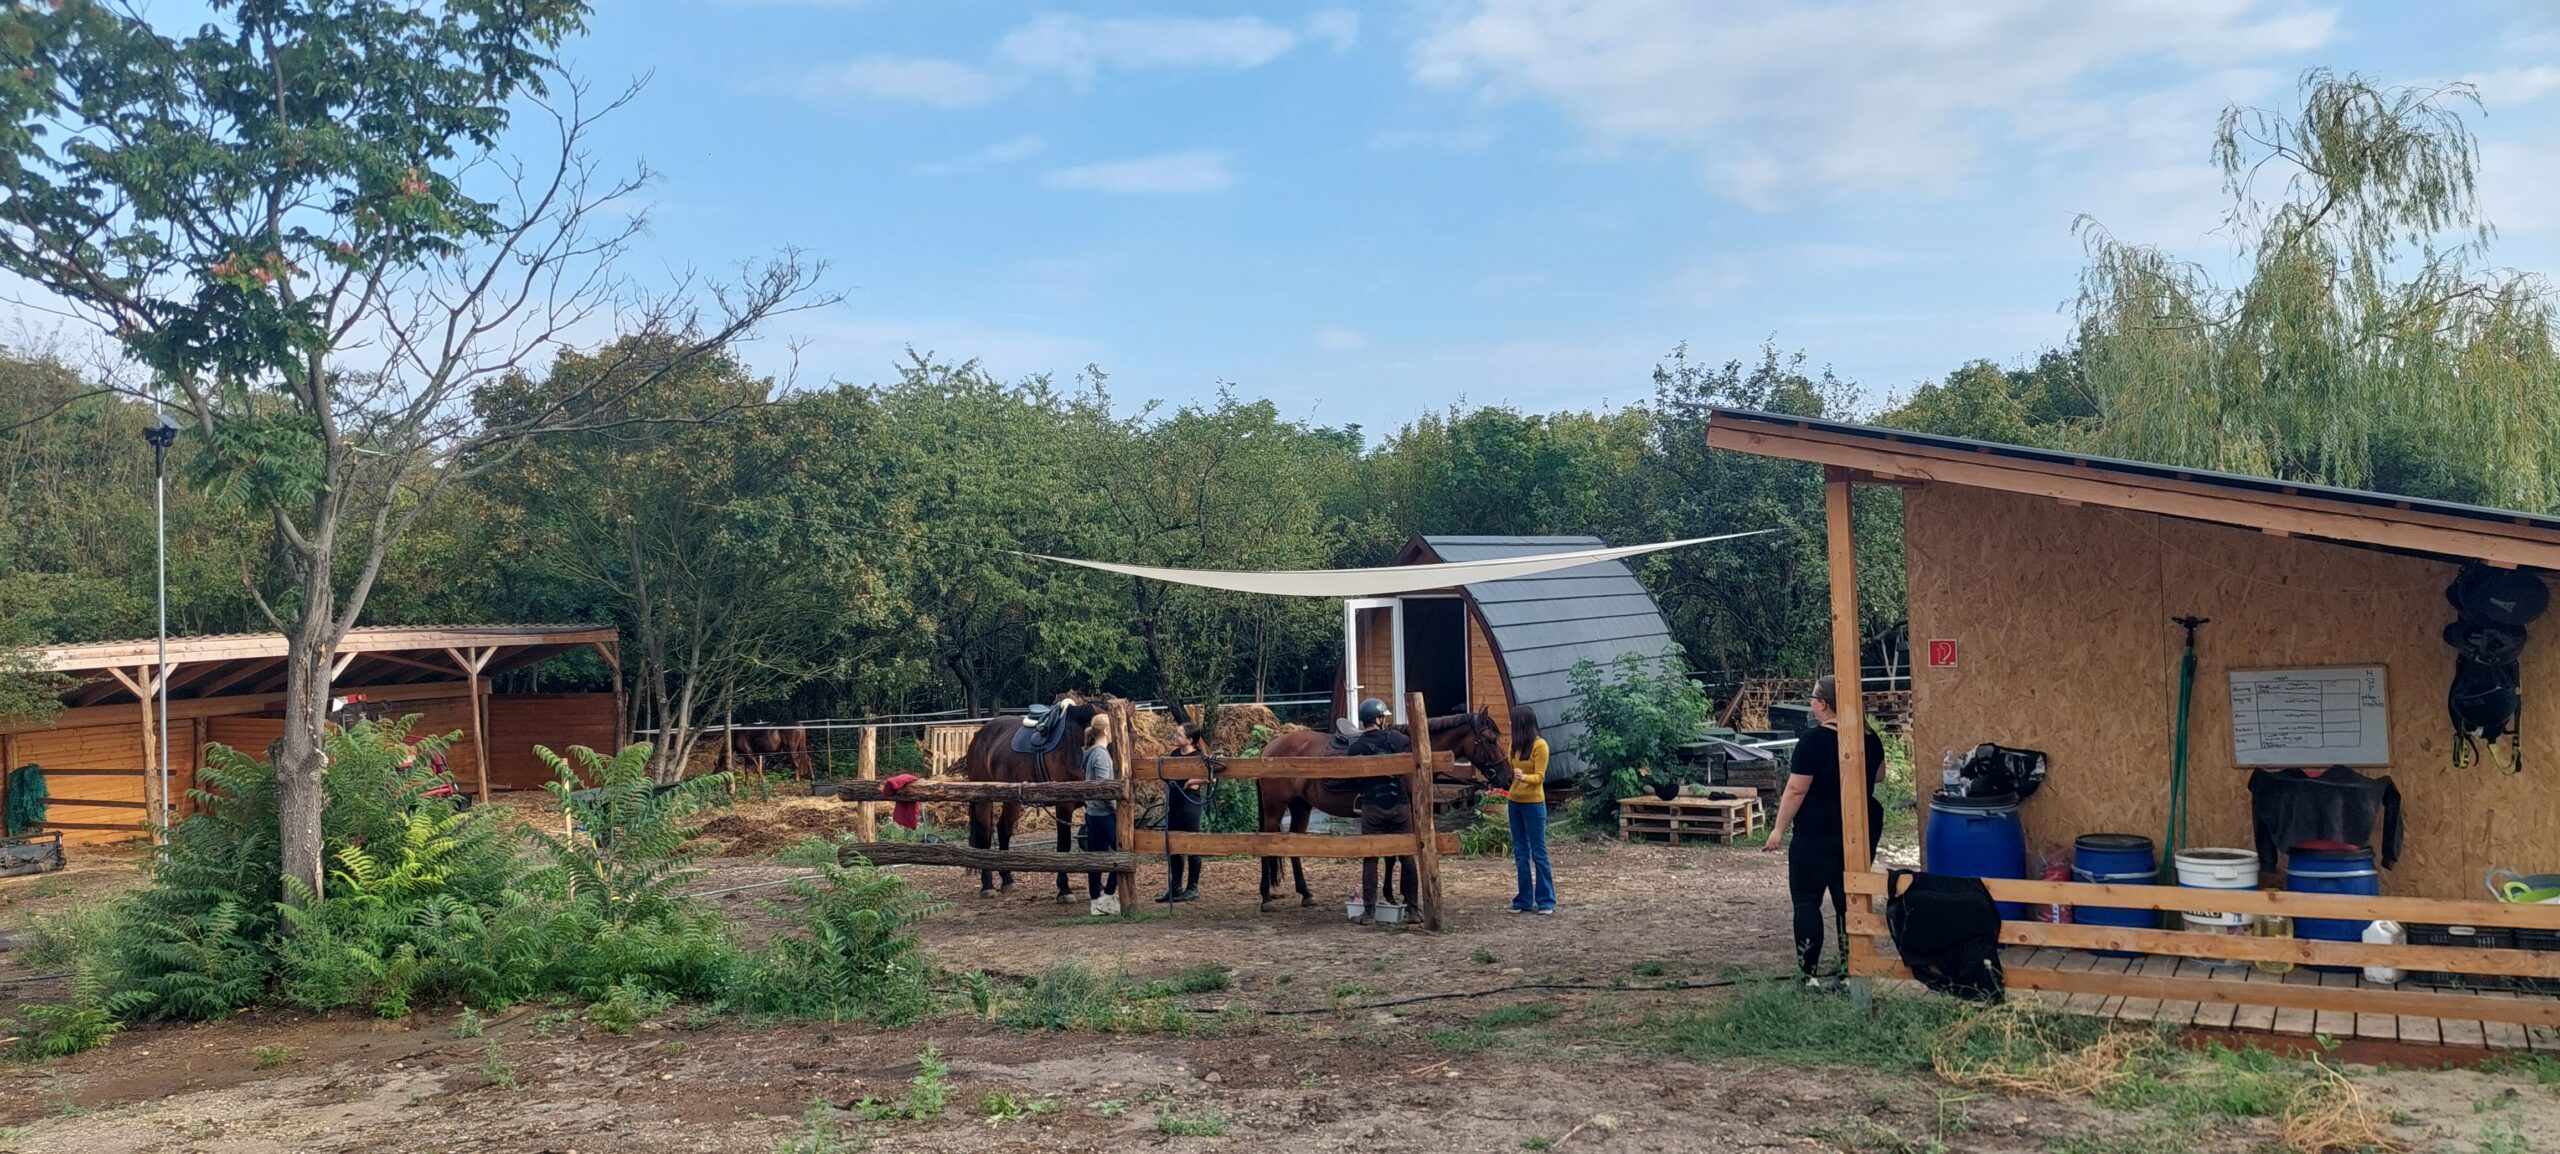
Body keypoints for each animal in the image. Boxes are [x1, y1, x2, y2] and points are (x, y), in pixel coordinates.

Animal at [956, 693, 1107, 900]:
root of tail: (980, 734)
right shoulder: (1064, 804)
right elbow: (1064, 845)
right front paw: (1064, 890)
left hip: (1011, 800)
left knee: (1003, 829)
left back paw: (1007, 880)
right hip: (984, 799)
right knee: (985, 835)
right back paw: (987, 886)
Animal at [1252, 708, 1513, 910]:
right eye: (1491, 740)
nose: (1508, 777)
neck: (1414, 756)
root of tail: (1268, 749)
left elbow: (1392, 855)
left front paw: (1392, 894)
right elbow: (1393, 854)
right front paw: (1395, 894)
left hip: (1301, 807)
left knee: (1293, 846)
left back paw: (1306, 894)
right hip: (1275, 811)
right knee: (1266, 845)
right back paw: (1266, 897)